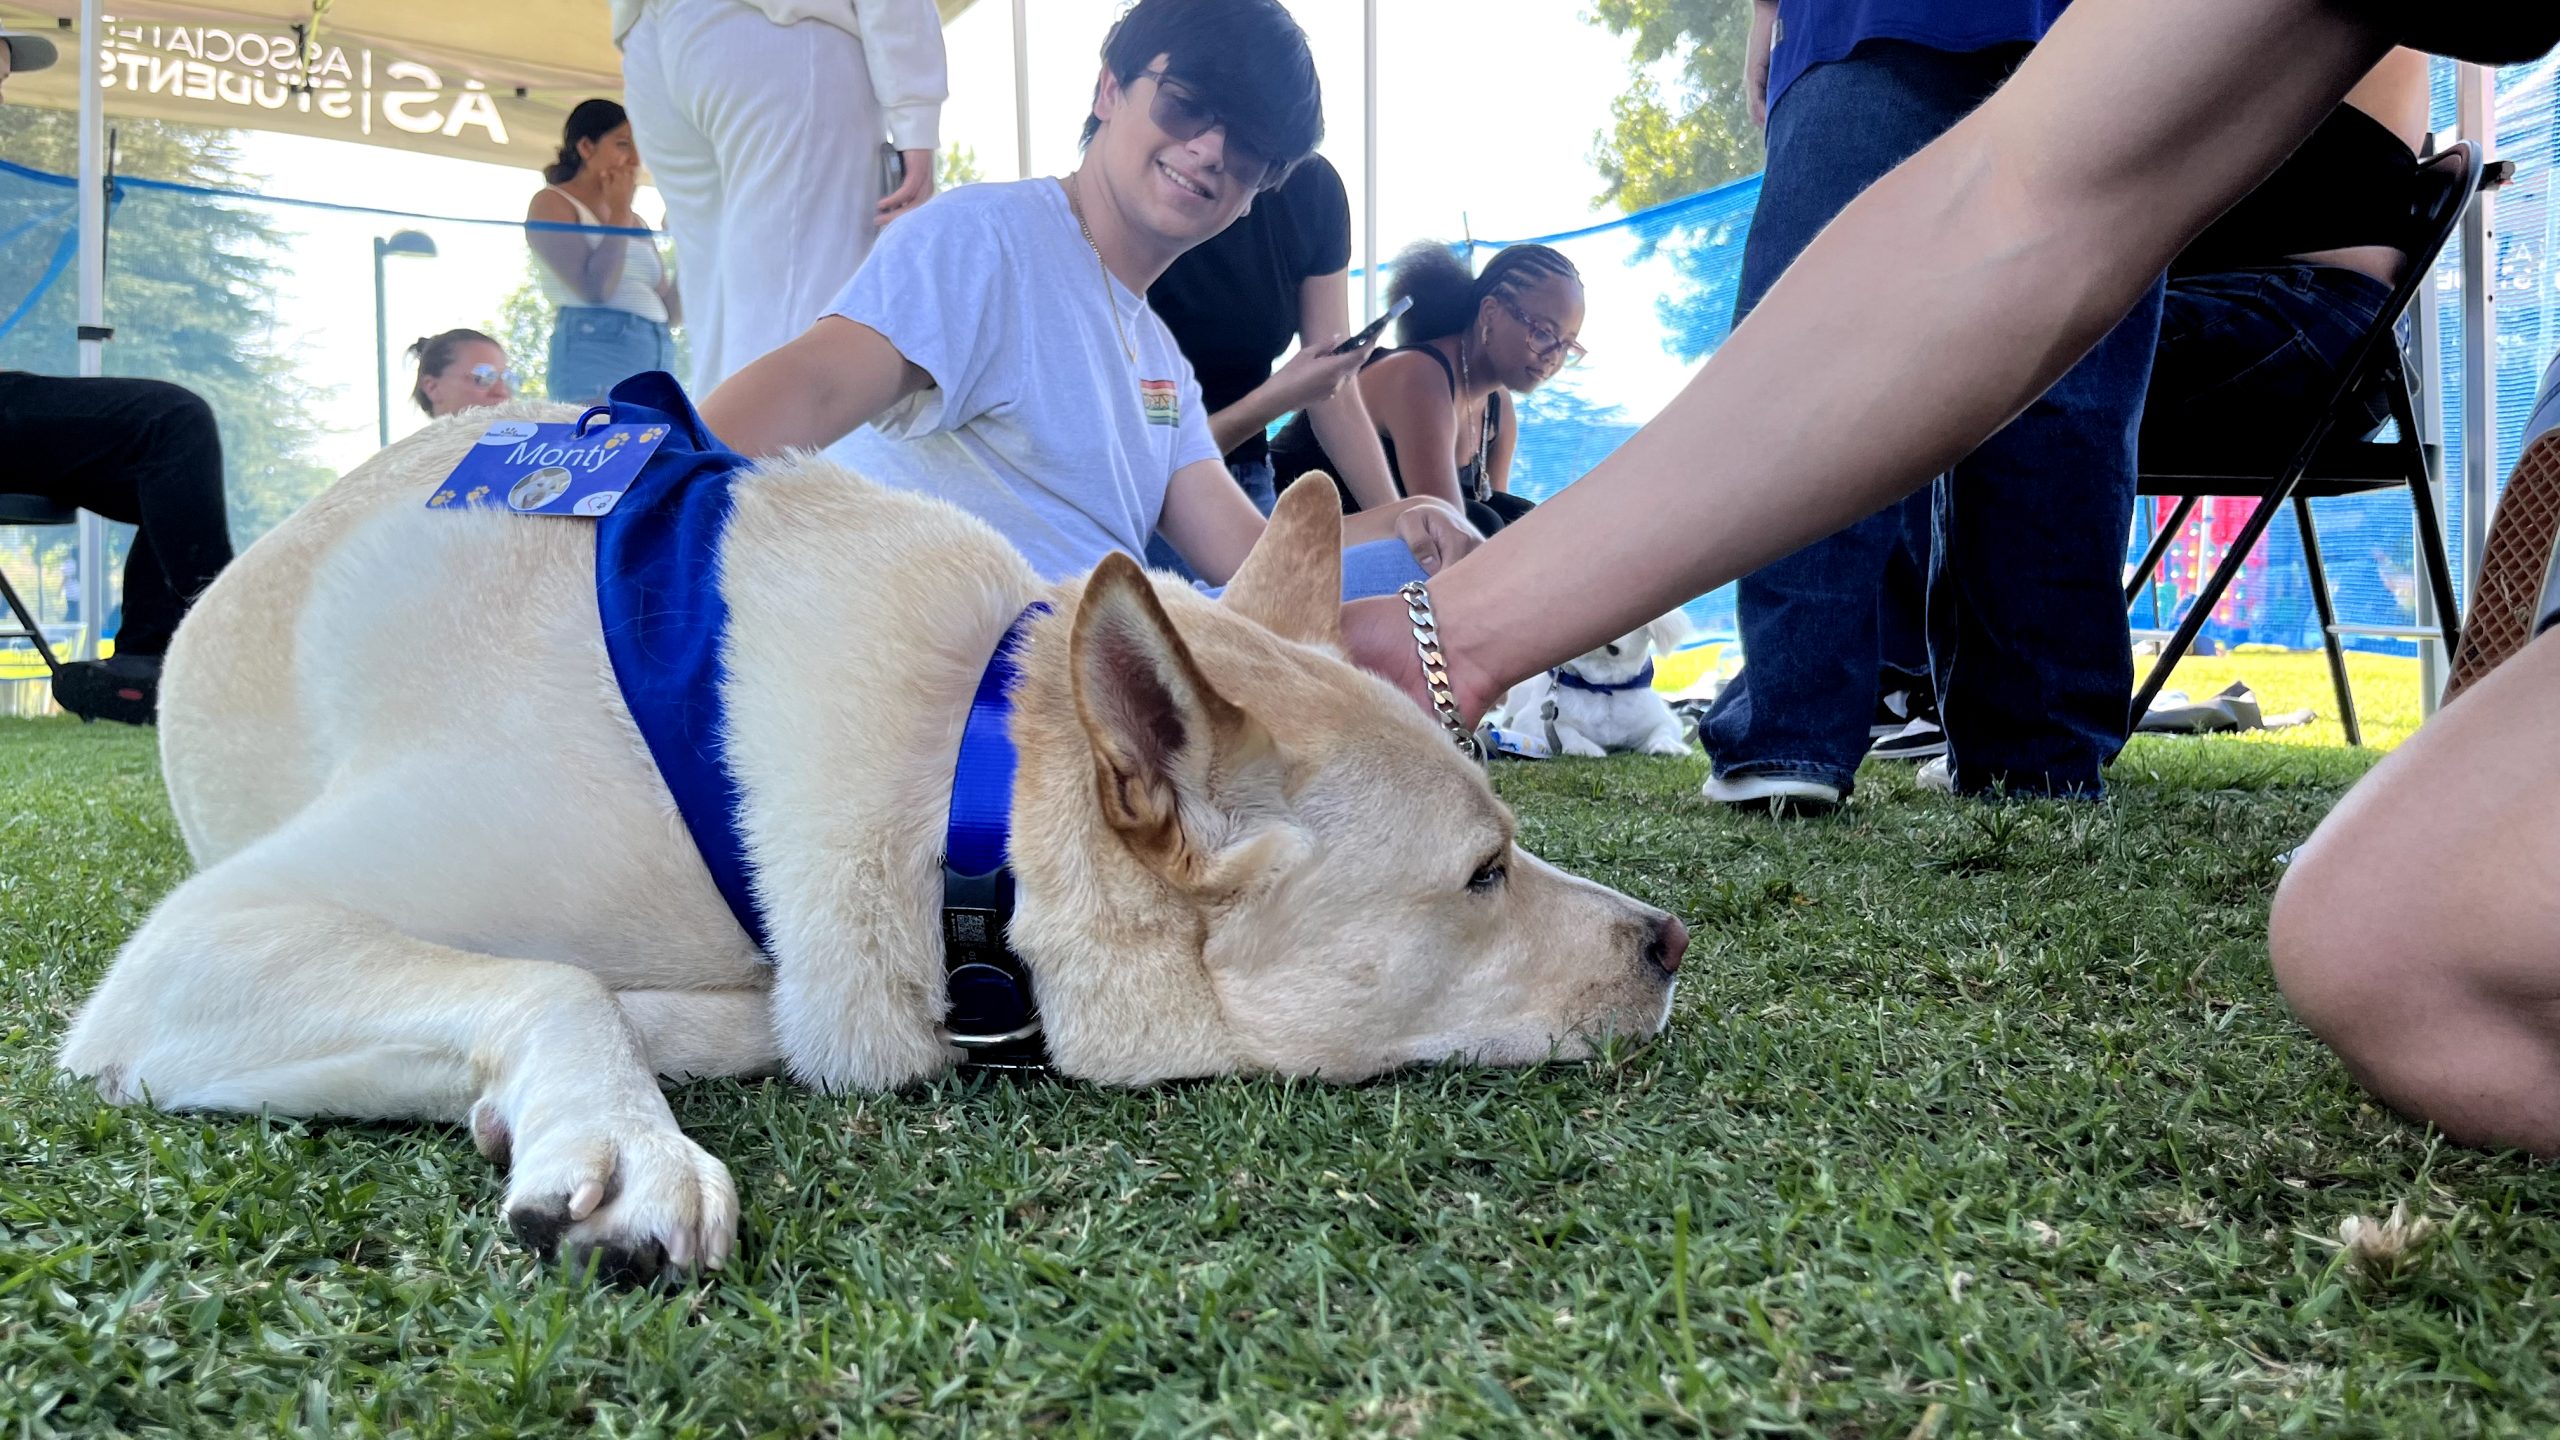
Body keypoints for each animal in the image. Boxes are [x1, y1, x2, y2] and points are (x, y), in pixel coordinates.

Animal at [1495, 609, 1699, 758]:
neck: (1600, 689)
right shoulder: (1531, 720)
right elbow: (1566, 731)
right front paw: (1585, 748)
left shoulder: (1665, 719)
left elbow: (1664, 730)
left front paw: (1668, 747)